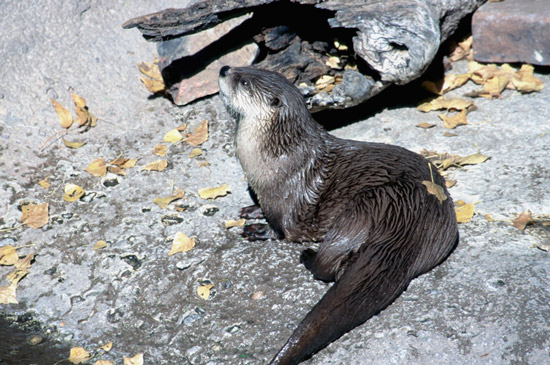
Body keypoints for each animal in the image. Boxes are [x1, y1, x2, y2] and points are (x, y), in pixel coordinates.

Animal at [218, 66, 460, 364]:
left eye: (244, 81)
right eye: (247, 69)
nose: (223, 69)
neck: (277, 156)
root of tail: (409, 221)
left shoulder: (285, 198)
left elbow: (282, 229)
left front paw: (259, 230)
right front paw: (251, 210)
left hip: (361, 209)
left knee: (326, 265)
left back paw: (309, 255)